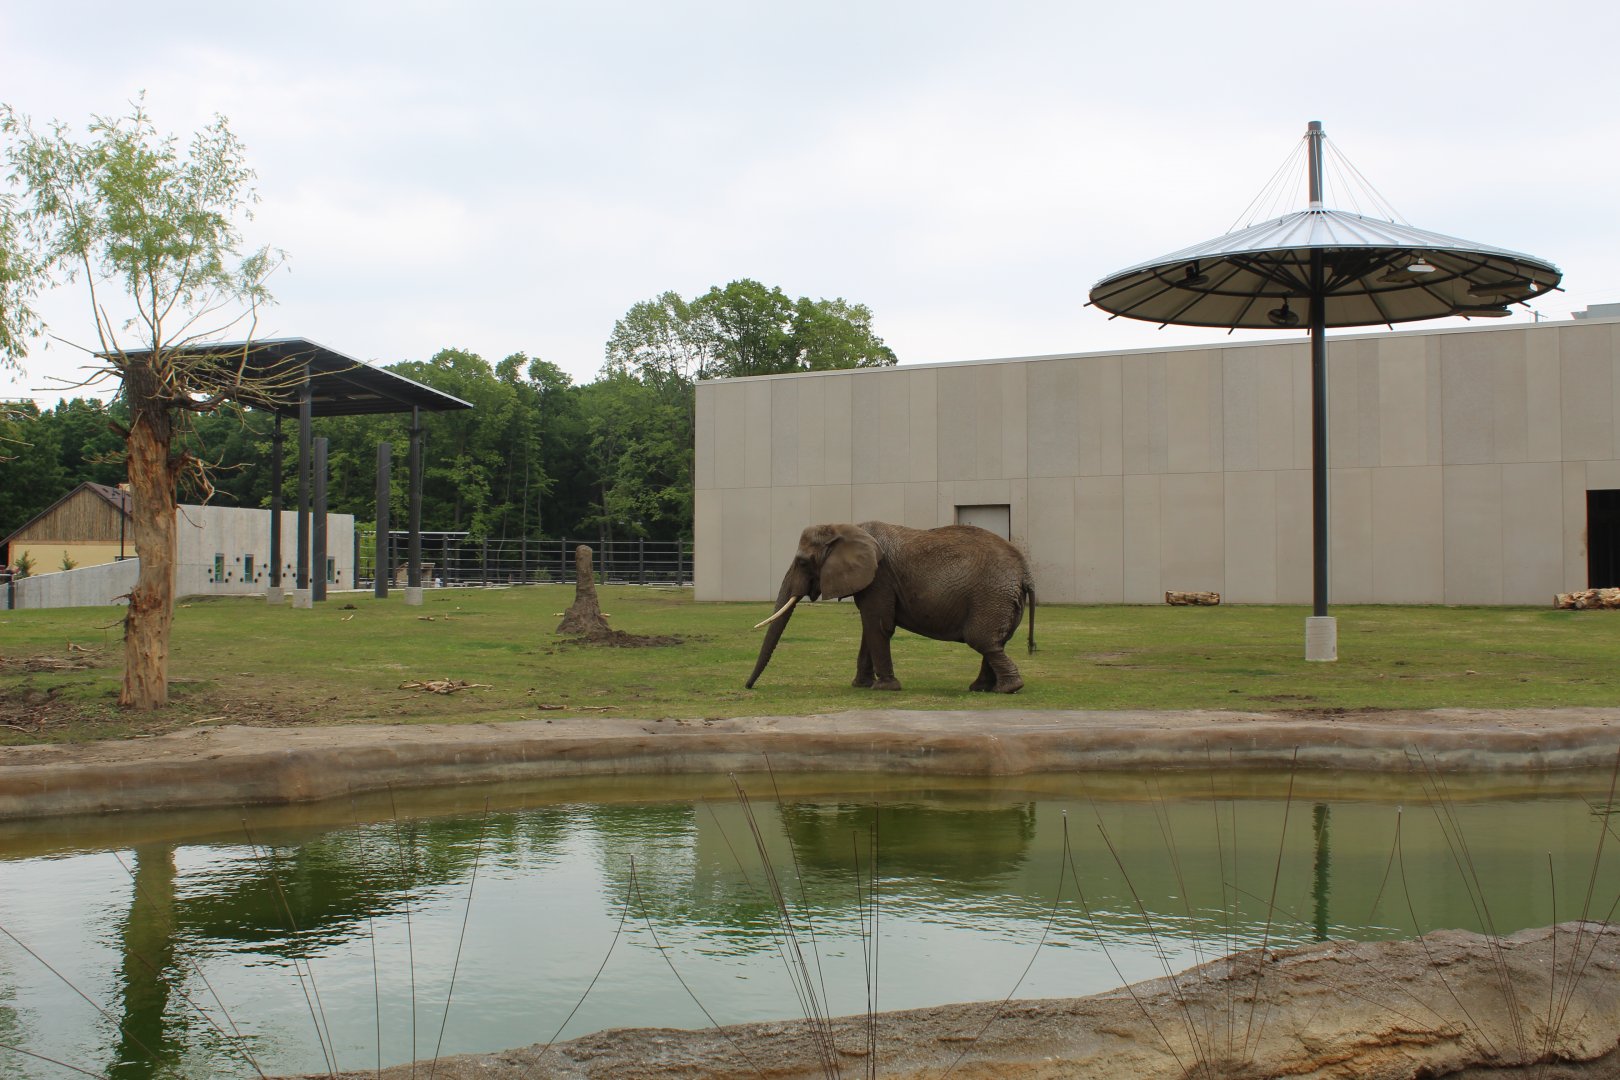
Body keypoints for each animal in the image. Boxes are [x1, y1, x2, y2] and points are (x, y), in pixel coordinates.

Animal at [746, 521, 1035, 693]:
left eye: (803, 562)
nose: (748, 687)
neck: (846, 527)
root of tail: (1025, 573)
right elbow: (869, 628)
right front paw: (860, 686)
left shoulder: (880, 577)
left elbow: (879, 625)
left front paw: (884, 688)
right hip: (1000, 599)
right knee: (994, 642)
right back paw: (981, 688)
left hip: (991, 595)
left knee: (982, 640)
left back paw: (1006, 689)